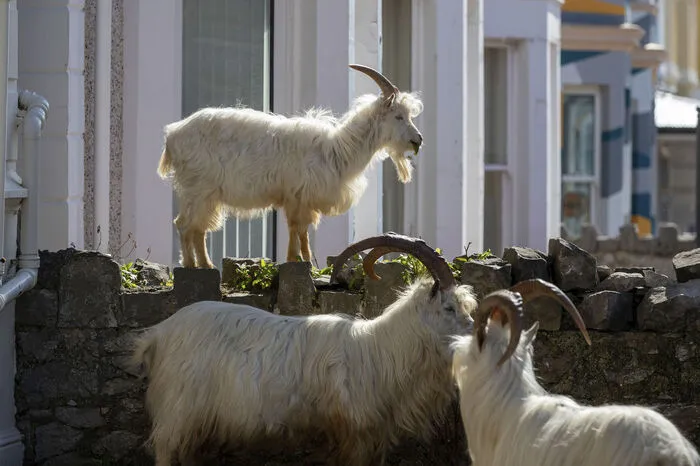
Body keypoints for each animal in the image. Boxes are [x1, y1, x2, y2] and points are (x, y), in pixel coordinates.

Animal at [130, 233, 476, 466]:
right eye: (448, 307)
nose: (475, 337)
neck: (381, 350)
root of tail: (159, 333)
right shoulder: (355, 435)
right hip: (177, 412)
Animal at [157, 65, 424, 268]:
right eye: (398, 116)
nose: (418, 140)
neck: (337, 149)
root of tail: (173, 135)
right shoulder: (298, 196)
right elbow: (297, 228)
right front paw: (298, 260)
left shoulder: (300, 199)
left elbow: (301, 232)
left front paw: (302, 260)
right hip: (198, 189)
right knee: (185, 225)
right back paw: (192, 265)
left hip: (206, 195)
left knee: (197, 228)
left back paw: (205, 264)